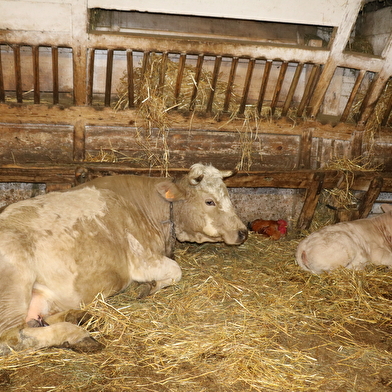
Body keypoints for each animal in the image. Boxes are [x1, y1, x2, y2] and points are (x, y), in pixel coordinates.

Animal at [0, 164, 247, 354]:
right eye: (209, 201)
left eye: (228, 195)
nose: (243, 232)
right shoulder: (140, 259)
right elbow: (176, 270)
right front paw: (148, 287)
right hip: (15, 284)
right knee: (12, 336)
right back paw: (77, 334)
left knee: (35, 320)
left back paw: (80, 316)